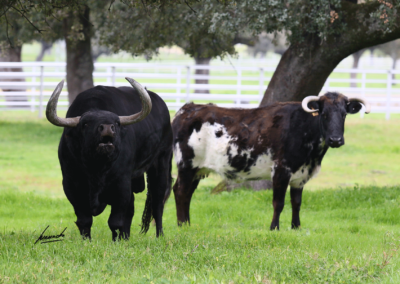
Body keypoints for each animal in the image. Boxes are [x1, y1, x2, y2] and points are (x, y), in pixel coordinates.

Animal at [46, 77, 173, 240]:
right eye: (85, 123)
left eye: (117, 123)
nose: (107, 128)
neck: (96, 169)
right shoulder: (71, 185)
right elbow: (84, 220)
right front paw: (87, 241)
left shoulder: (121, 184)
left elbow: (115, 221)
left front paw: (116, 241)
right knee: (132, 209)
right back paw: (126, 237)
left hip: (161, 162)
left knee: (158, 202)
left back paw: (159, 235)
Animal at [167, 93, 370, 231]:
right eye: (324, 114)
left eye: (344, 114)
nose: (336, 139)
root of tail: (187, 109)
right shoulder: (281, 171)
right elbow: (278, 202)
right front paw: (274, 228)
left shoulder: (300, 176)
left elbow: (296, 202)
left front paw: (296, 227)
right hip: (186, 165)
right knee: (181, 191)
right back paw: (181, 225)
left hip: (198, 169)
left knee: (188, 194)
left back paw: (187, 224)